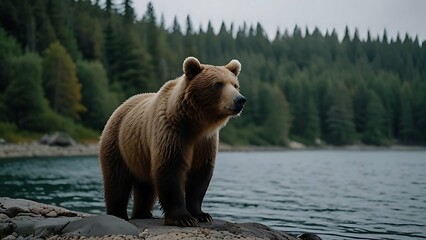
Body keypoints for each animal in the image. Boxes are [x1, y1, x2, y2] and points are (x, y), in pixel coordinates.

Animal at [99, 56, 245, 227]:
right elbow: (171, 170)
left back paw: (143, 214)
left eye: (235, 85)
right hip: (118, 144)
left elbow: (200, 176)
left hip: (140, 154)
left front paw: (202, 214)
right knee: (117, 181)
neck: (195, 124)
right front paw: (183, 218)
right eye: (218, 84)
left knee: (145, 187)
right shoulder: (171, 133)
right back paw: (118, 214)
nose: (240, 99)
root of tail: (120, 106)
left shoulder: (205, 143)